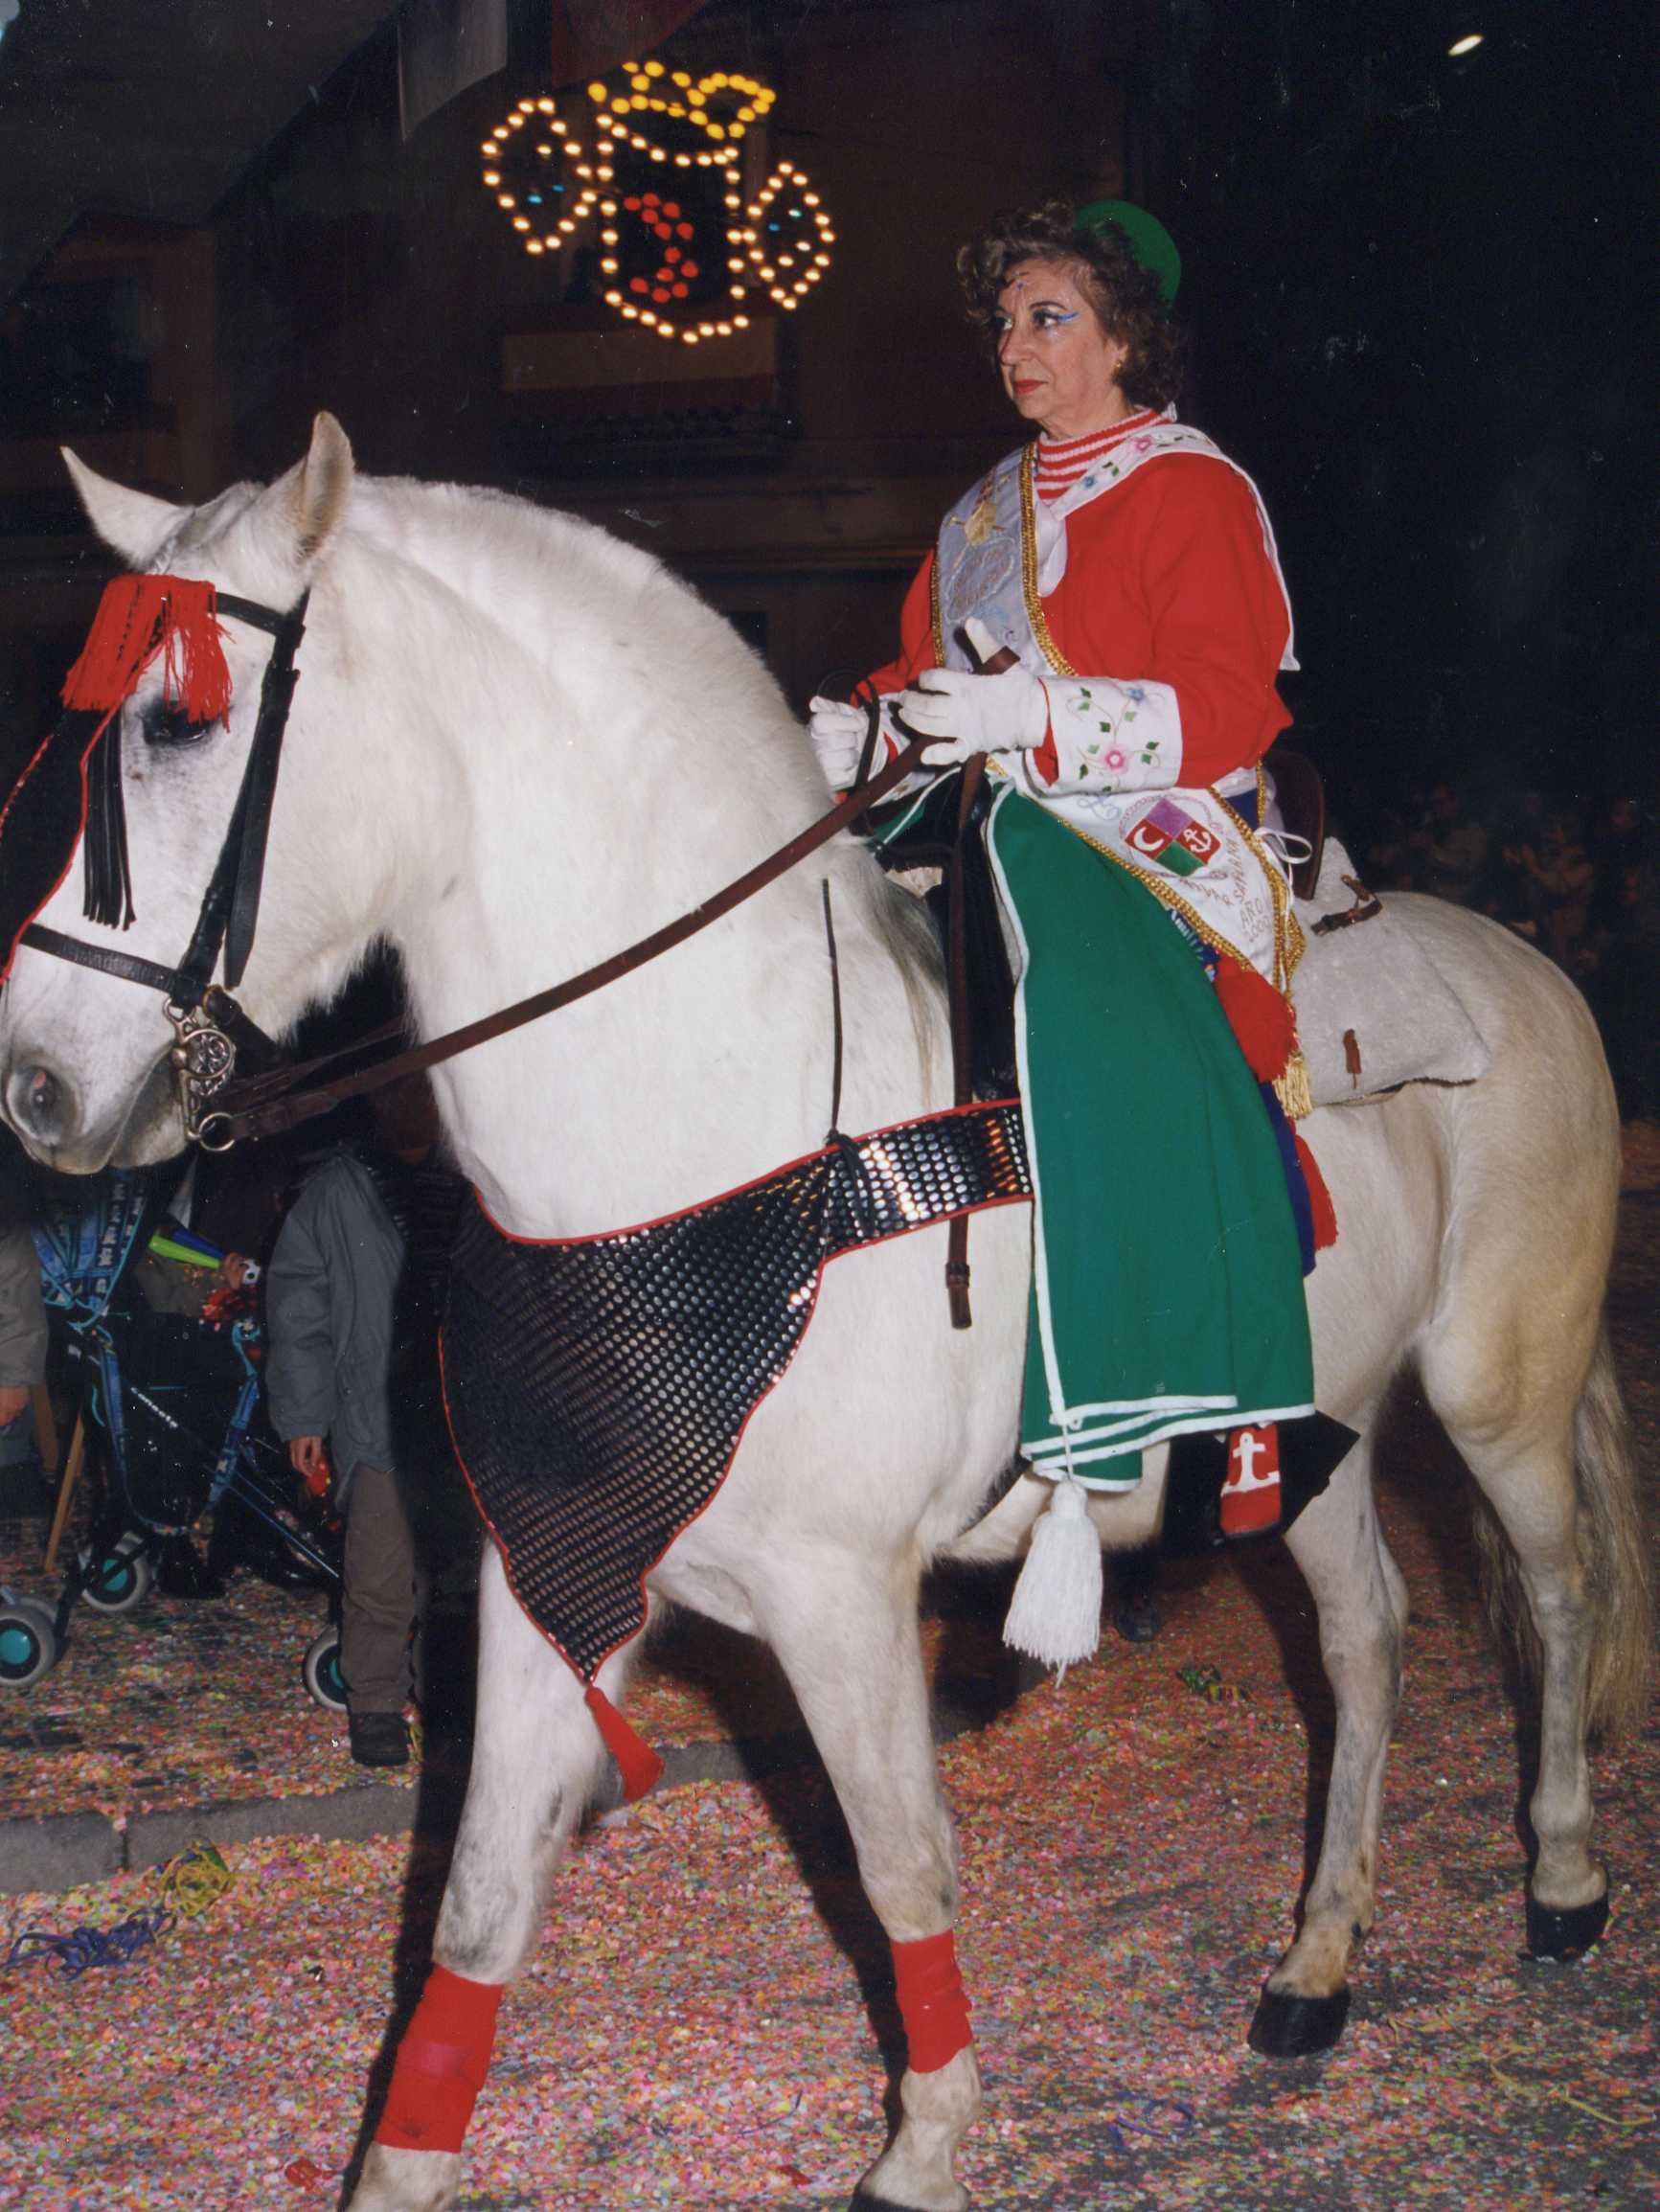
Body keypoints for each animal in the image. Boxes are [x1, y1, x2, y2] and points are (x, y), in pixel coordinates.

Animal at [0, 414, 1649, 2212]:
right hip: (1314, 1440)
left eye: (179, 720)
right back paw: (1314, 1967)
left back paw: (1562, 1879)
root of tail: (1525, 967)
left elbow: (902, 1862)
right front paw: (402, 2163)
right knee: (1365, 1641)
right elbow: (477, 1906)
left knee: (1556, 1592)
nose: (38, 1083)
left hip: (1491, 1394)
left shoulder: (841, 1599)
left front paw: (926, 2140)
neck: (721, 1140)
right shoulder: (547, 1576)